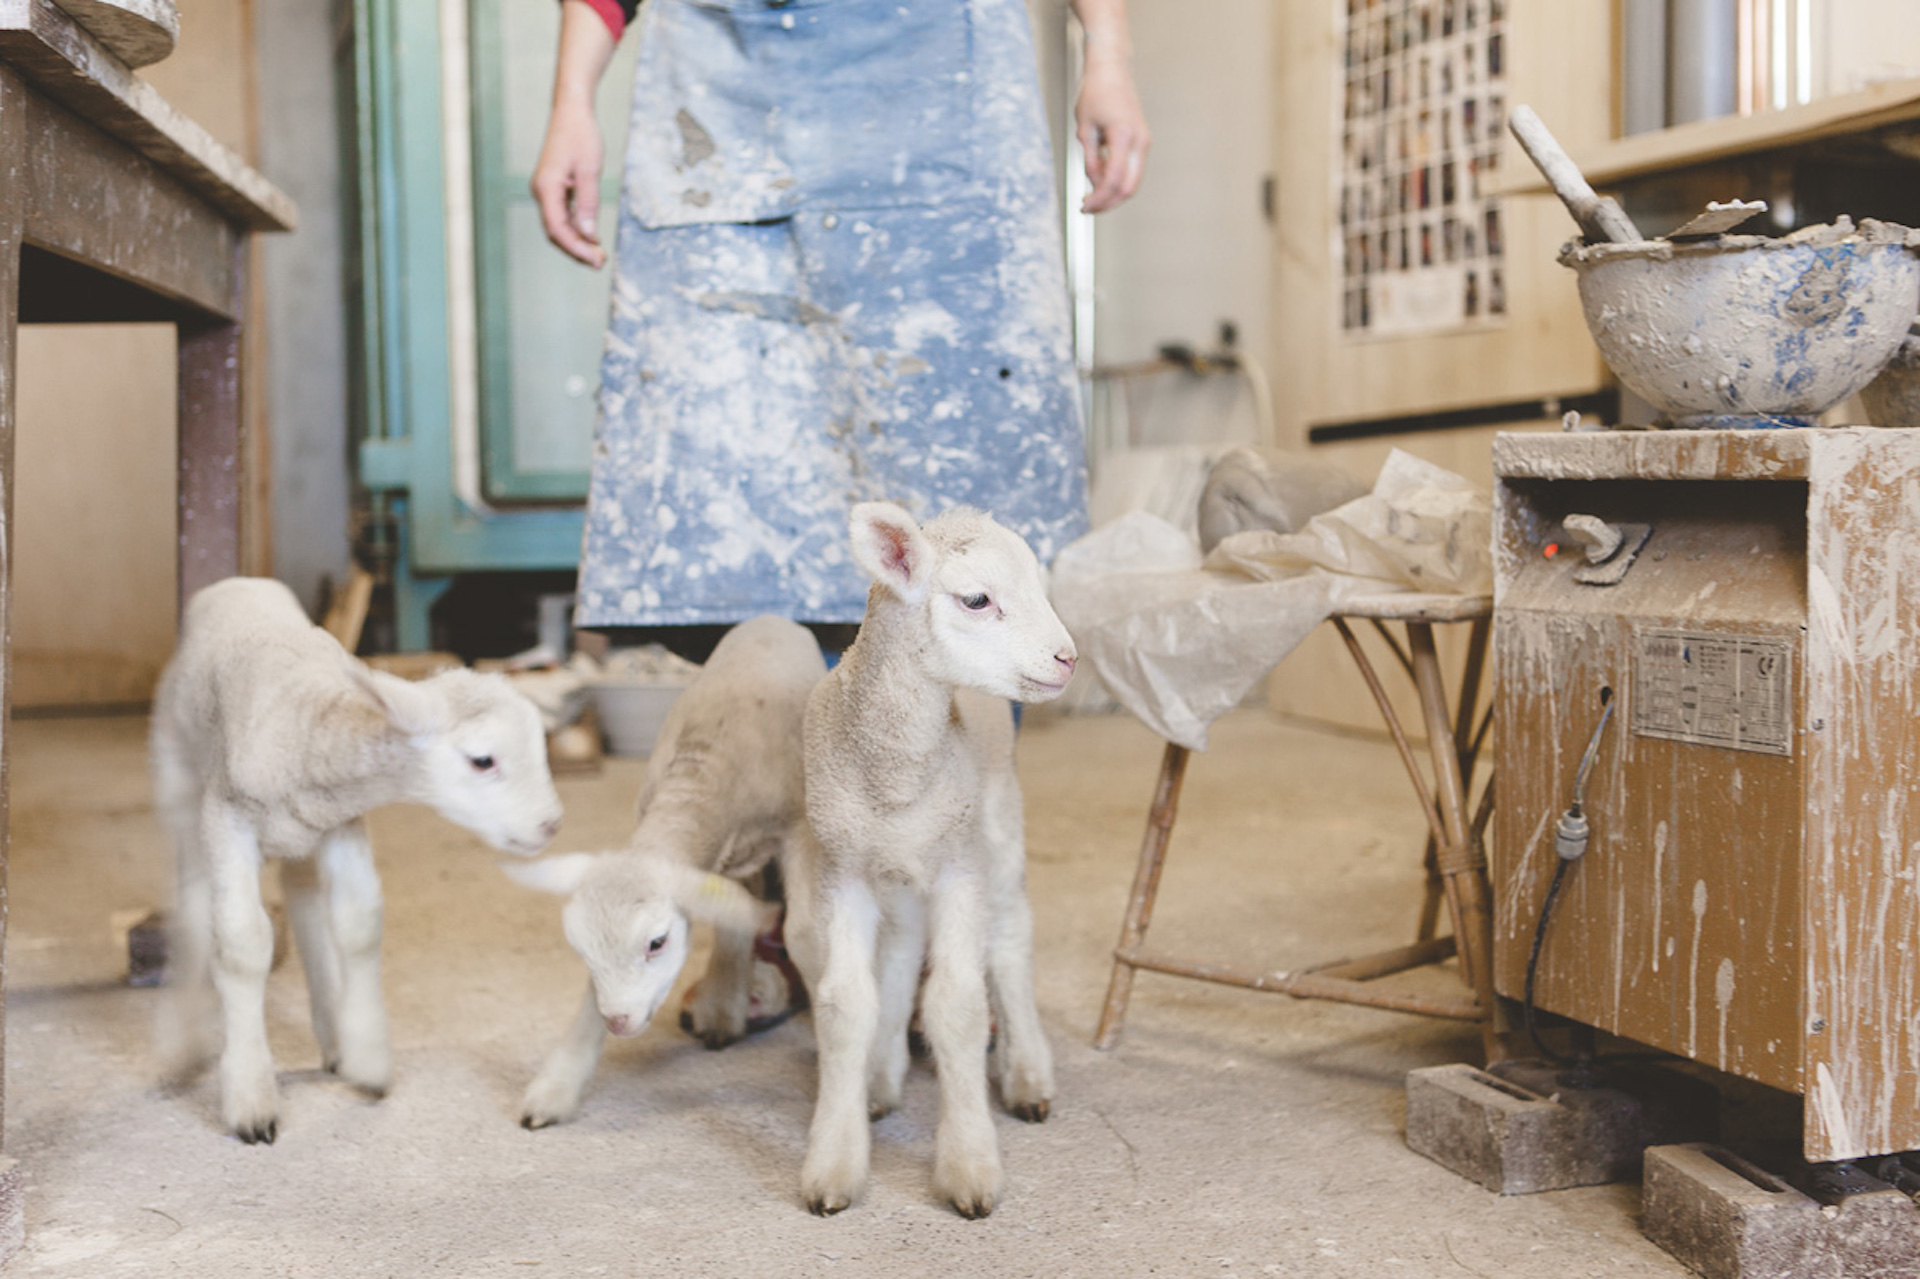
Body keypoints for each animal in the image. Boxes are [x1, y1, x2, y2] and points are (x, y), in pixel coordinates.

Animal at [152, 572, 560, 1136]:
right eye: (483, 760)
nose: (550, 825)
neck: (308, 723)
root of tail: (238, 581)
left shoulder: (341, 824)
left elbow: (359, 924)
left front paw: (368, 1060)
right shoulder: (228, 818)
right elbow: (242, 943)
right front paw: (251, 1094)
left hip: (297, 836)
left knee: (302, 901)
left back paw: (331, 1032)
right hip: (179, 777)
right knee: (191, 899)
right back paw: (181, 1045)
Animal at [503, 618, 825, 1129]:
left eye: (657, 943)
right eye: (581, 950)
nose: (618, 1021)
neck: (702, 781)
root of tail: (771, 619)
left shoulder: (798, 832)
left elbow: (804, 935)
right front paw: (555, 1088)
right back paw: (723, 1008)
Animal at [783, 499, 1082, 1213]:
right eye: (977, 599)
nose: (1068, 658)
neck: (895, 770)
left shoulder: (959, 867)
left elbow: (959, 1006)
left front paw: (970, 1166)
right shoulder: (844, 869)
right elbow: (844, 1006)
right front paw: (834, 1162)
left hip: (996, 825)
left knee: (1010, 939)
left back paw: (1028, 1075)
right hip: (899, 872)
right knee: (898, 952)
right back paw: (881, 1076)